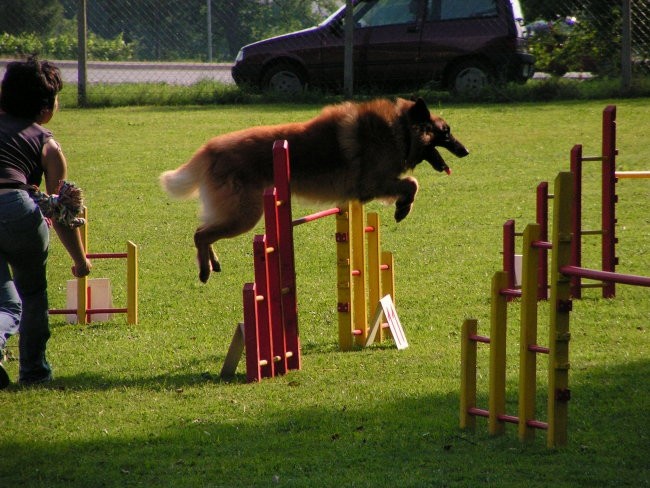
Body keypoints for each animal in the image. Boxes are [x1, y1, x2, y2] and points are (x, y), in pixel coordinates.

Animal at [161, 98, 466, 282]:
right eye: (446, 132)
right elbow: (413, 184)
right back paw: (204, 270)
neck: (399, 128)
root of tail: (211, 148)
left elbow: (410, 184)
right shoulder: (374, 183)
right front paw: (403, 208)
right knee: (201, 234)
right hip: (245, 216)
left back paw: (213, 262)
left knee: (203, 230)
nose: (466, 151)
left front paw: (403, 206)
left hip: (237, 214)